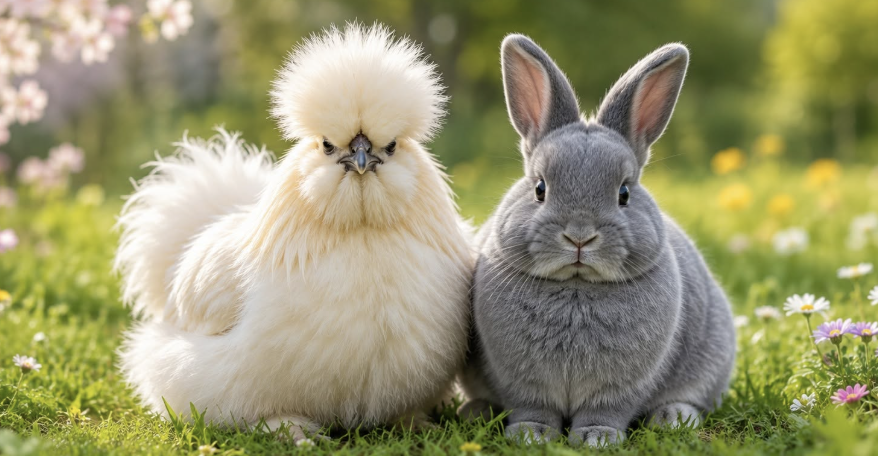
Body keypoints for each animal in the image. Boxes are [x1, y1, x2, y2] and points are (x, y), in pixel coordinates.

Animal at [457, 34, 736, 447]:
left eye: (624, 193)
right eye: (540, 188)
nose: (579, 236)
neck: (577, 285)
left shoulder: (621, 386)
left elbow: (605, 410)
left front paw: (596, 438)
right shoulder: (520, 381)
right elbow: (532, 406)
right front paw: (531, 435)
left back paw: (672, 417)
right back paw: (475, 411)